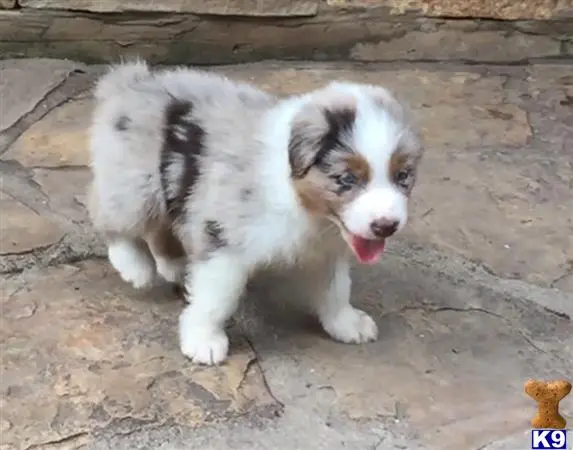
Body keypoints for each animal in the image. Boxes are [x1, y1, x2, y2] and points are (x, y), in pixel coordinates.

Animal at [87, 61, 422, 366]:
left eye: (403, 176)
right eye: (348, 179)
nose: (386, 226)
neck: (303, 204)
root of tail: (130, 81)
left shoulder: (325, 249)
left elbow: (336, 290)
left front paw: (347, 324)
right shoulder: (224, 235)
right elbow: (216, 297)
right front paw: (203, 340)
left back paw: (176, 267)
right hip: (136, 184)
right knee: (109, 217)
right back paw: (135, 267)